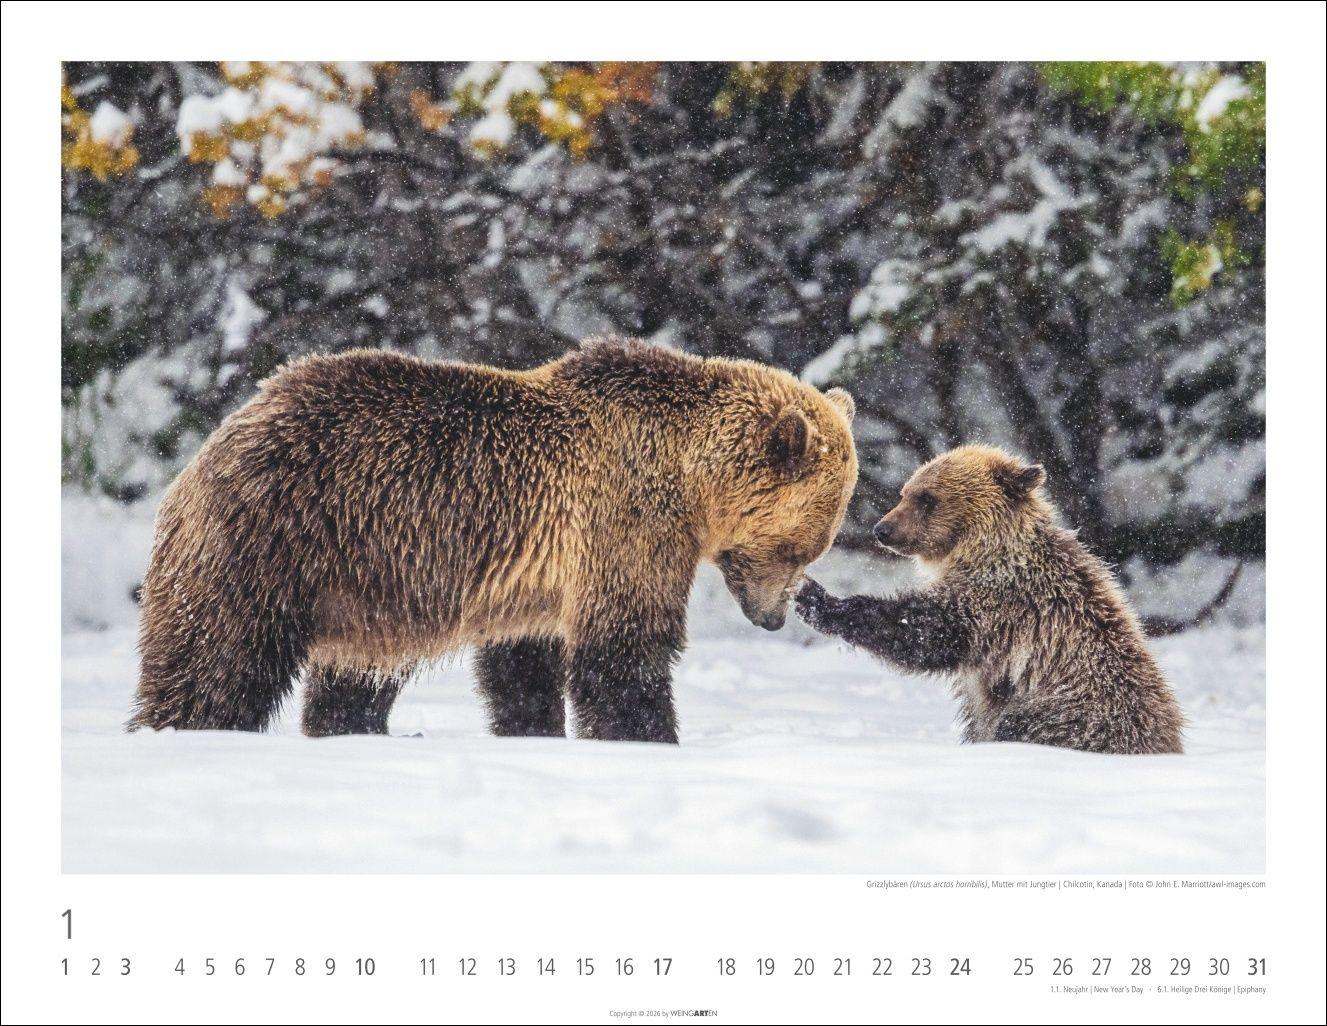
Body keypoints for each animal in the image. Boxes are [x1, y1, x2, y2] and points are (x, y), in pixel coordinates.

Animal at [128, 337, 858, 744]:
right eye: (799, 548)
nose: (773, 618)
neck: (686, 474)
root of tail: (211, 444)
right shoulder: (624, 520)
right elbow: (625, 649)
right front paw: (647, 736)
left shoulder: (535, 579)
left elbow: (523, 667)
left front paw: (535, 730)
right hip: (275, 536)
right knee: (217, 658)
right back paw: (180, 729)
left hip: (365, 589)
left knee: (352, 676)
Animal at [794, 444, 1184, 755]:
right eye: (905, 492)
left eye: (927, 498)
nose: (882, 530)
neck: (983, 550)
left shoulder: (1005, 603)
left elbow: (927, 631)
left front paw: (818, 599)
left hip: (1066, 713)